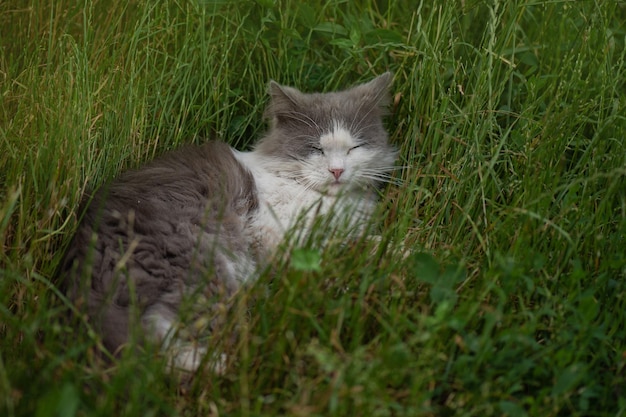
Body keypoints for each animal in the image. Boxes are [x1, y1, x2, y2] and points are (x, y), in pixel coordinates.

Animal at [61, 71, 398, 374]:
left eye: (354, 147)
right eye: (316, 148)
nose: (337, 171)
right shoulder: (281, 234)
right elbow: (353, 247)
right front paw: (398, 251)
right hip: (199, 265)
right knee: (158, 342)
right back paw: (228, 362)